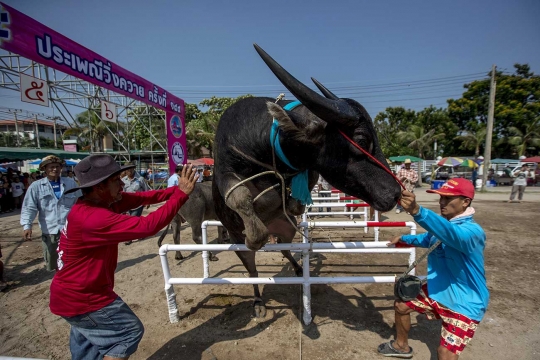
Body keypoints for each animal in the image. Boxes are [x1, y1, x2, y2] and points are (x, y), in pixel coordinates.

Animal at [211, 43, 400, 316]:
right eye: (362, 140)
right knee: (253, 270)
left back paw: (300, 269)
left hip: (287, 230)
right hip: (238, 244)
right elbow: (243, 205)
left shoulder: (307, 171)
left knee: (286, 248)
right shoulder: (225, 174)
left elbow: (301, 193)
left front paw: (291, 201)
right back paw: (258, 302)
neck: (266, 143)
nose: (397, 192)